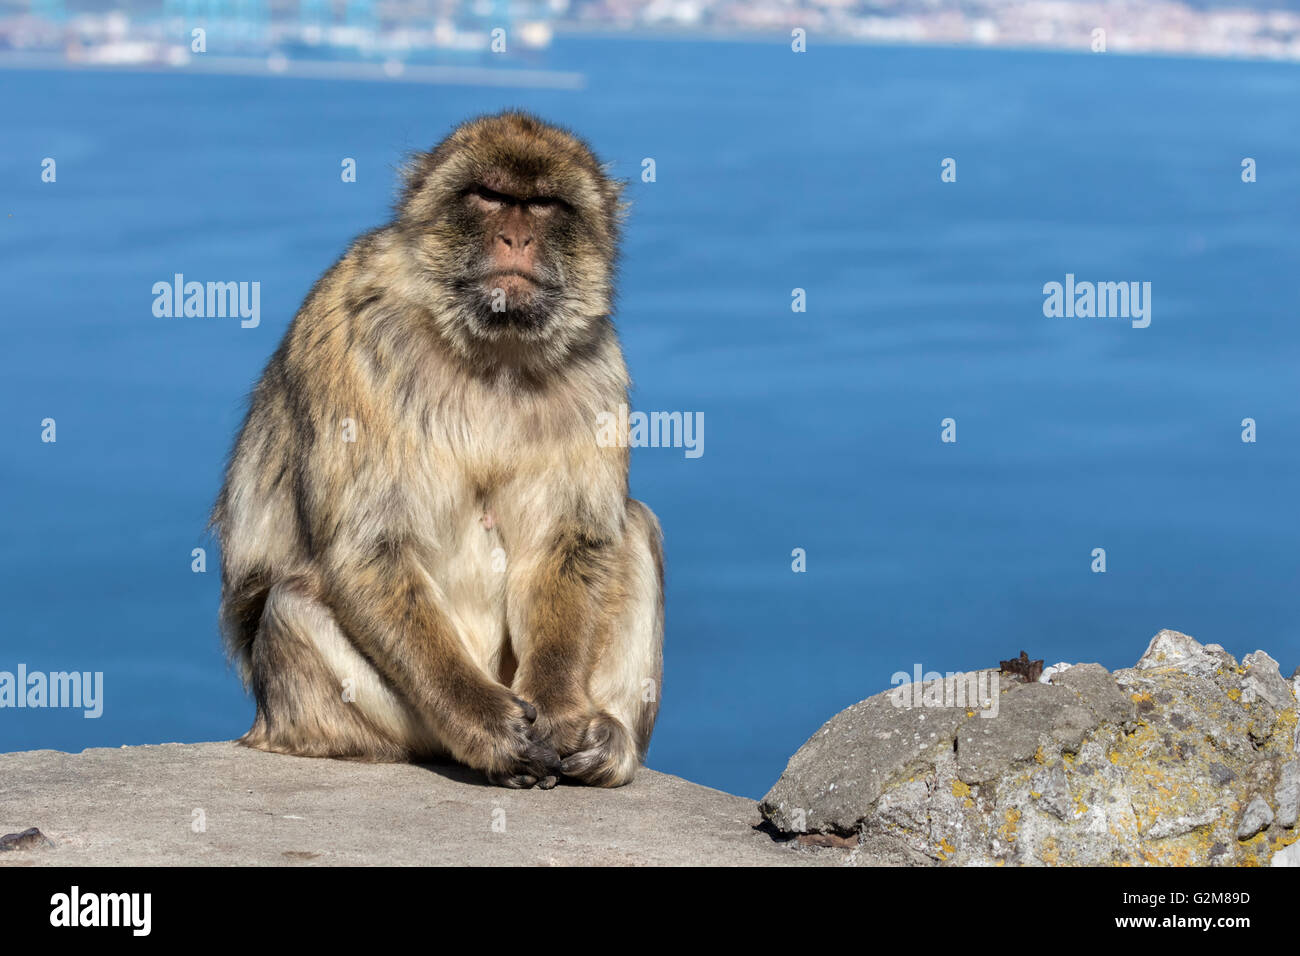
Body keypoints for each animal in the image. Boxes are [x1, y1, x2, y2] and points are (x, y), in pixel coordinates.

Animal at [211, 111, 663, 789]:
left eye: (544, 205)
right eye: (489, 196)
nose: (514, 237)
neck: (491, 350)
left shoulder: (597, 367)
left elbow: (571, 540)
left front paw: (560, 708)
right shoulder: (357, 337)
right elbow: (371, 552)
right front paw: (490, 726)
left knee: (632, 526)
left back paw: (607, 741)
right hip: (338, 719)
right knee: (291, 606)